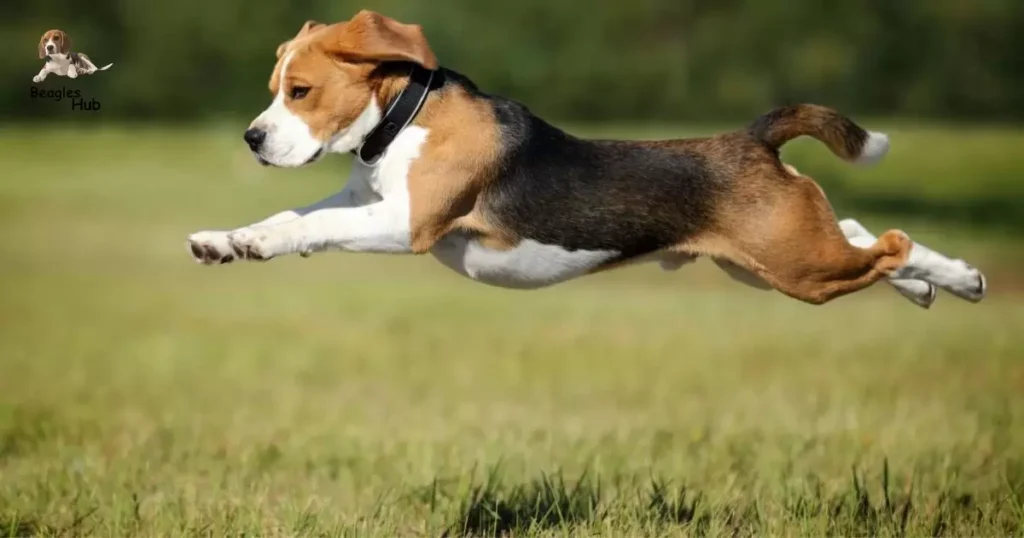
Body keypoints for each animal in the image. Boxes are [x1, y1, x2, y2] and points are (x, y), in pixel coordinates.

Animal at [188, 10, 987, 307]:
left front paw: (254, 243)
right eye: (274, 88)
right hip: (773, 259)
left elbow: (309, 224)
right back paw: (933, 284)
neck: (403, 117)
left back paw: (954, 278)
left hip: (800, 271)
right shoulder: (367, 204)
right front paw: (230, 241)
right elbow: (289, 213)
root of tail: (753, 138)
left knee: (892, 242)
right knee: (857, 231)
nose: (252, 138)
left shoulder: (405, 223)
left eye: (300, 90)